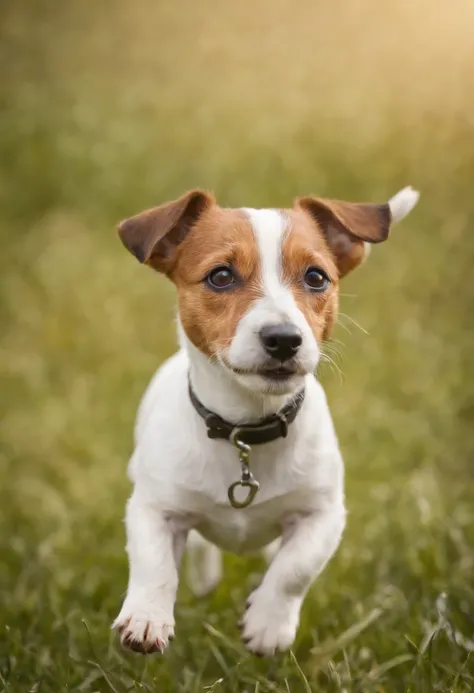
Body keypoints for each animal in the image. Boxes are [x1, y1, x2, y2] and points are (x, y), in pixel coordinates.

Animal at [111, 184, 418, 656]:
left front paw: (269, 625)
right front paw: (147, 618)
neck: (246, 432)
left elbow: (296, 568)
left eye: (316, 277)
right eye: (220, 276)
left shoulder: (323, 513)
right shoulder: (152, 507)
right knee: (199, 548)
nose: (284, 339)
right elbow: (154, 563)